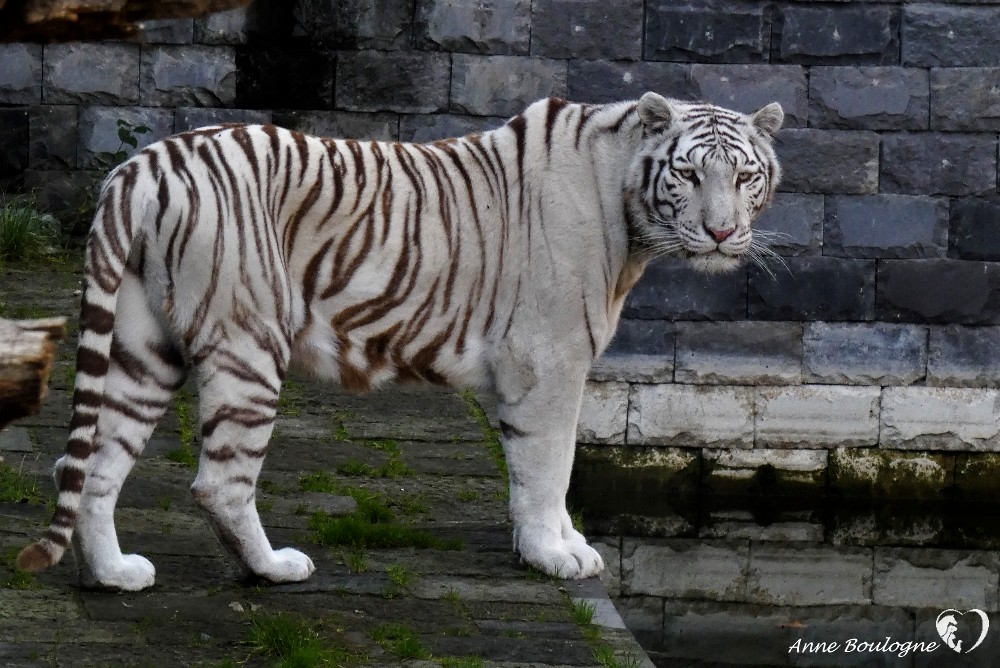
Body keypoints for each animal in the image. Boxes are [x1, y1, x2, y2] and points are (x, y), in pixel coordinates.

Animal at [17, 92, 780, 588]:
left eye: (745, 175)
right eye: (688, 173)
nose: (722, 232)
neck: (628, 214)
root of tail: (141, 167)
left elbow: (545, 471)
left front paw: (560, 544)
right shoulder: (549, 361)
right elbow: (550, 466)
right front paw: (554, 556)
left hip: (141, 345)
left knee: (88, 465)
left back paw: (114, 575)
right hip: (248, 343)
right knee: (220, 482)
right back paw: (274, 569)